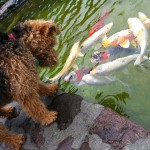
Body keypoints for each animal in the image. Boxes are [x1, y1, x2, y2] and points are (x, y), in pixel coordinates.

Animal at [0, 19, 59, 149]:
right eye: (51, 44)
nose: (56, 61)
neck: (18, 42)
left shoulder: (25, 76)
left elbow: (39, 85)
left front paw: (51, 88)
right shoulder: (21, 86)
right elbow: (35, 106)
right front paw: (48, 117)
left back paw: (8, 111)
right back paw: (16, 140)